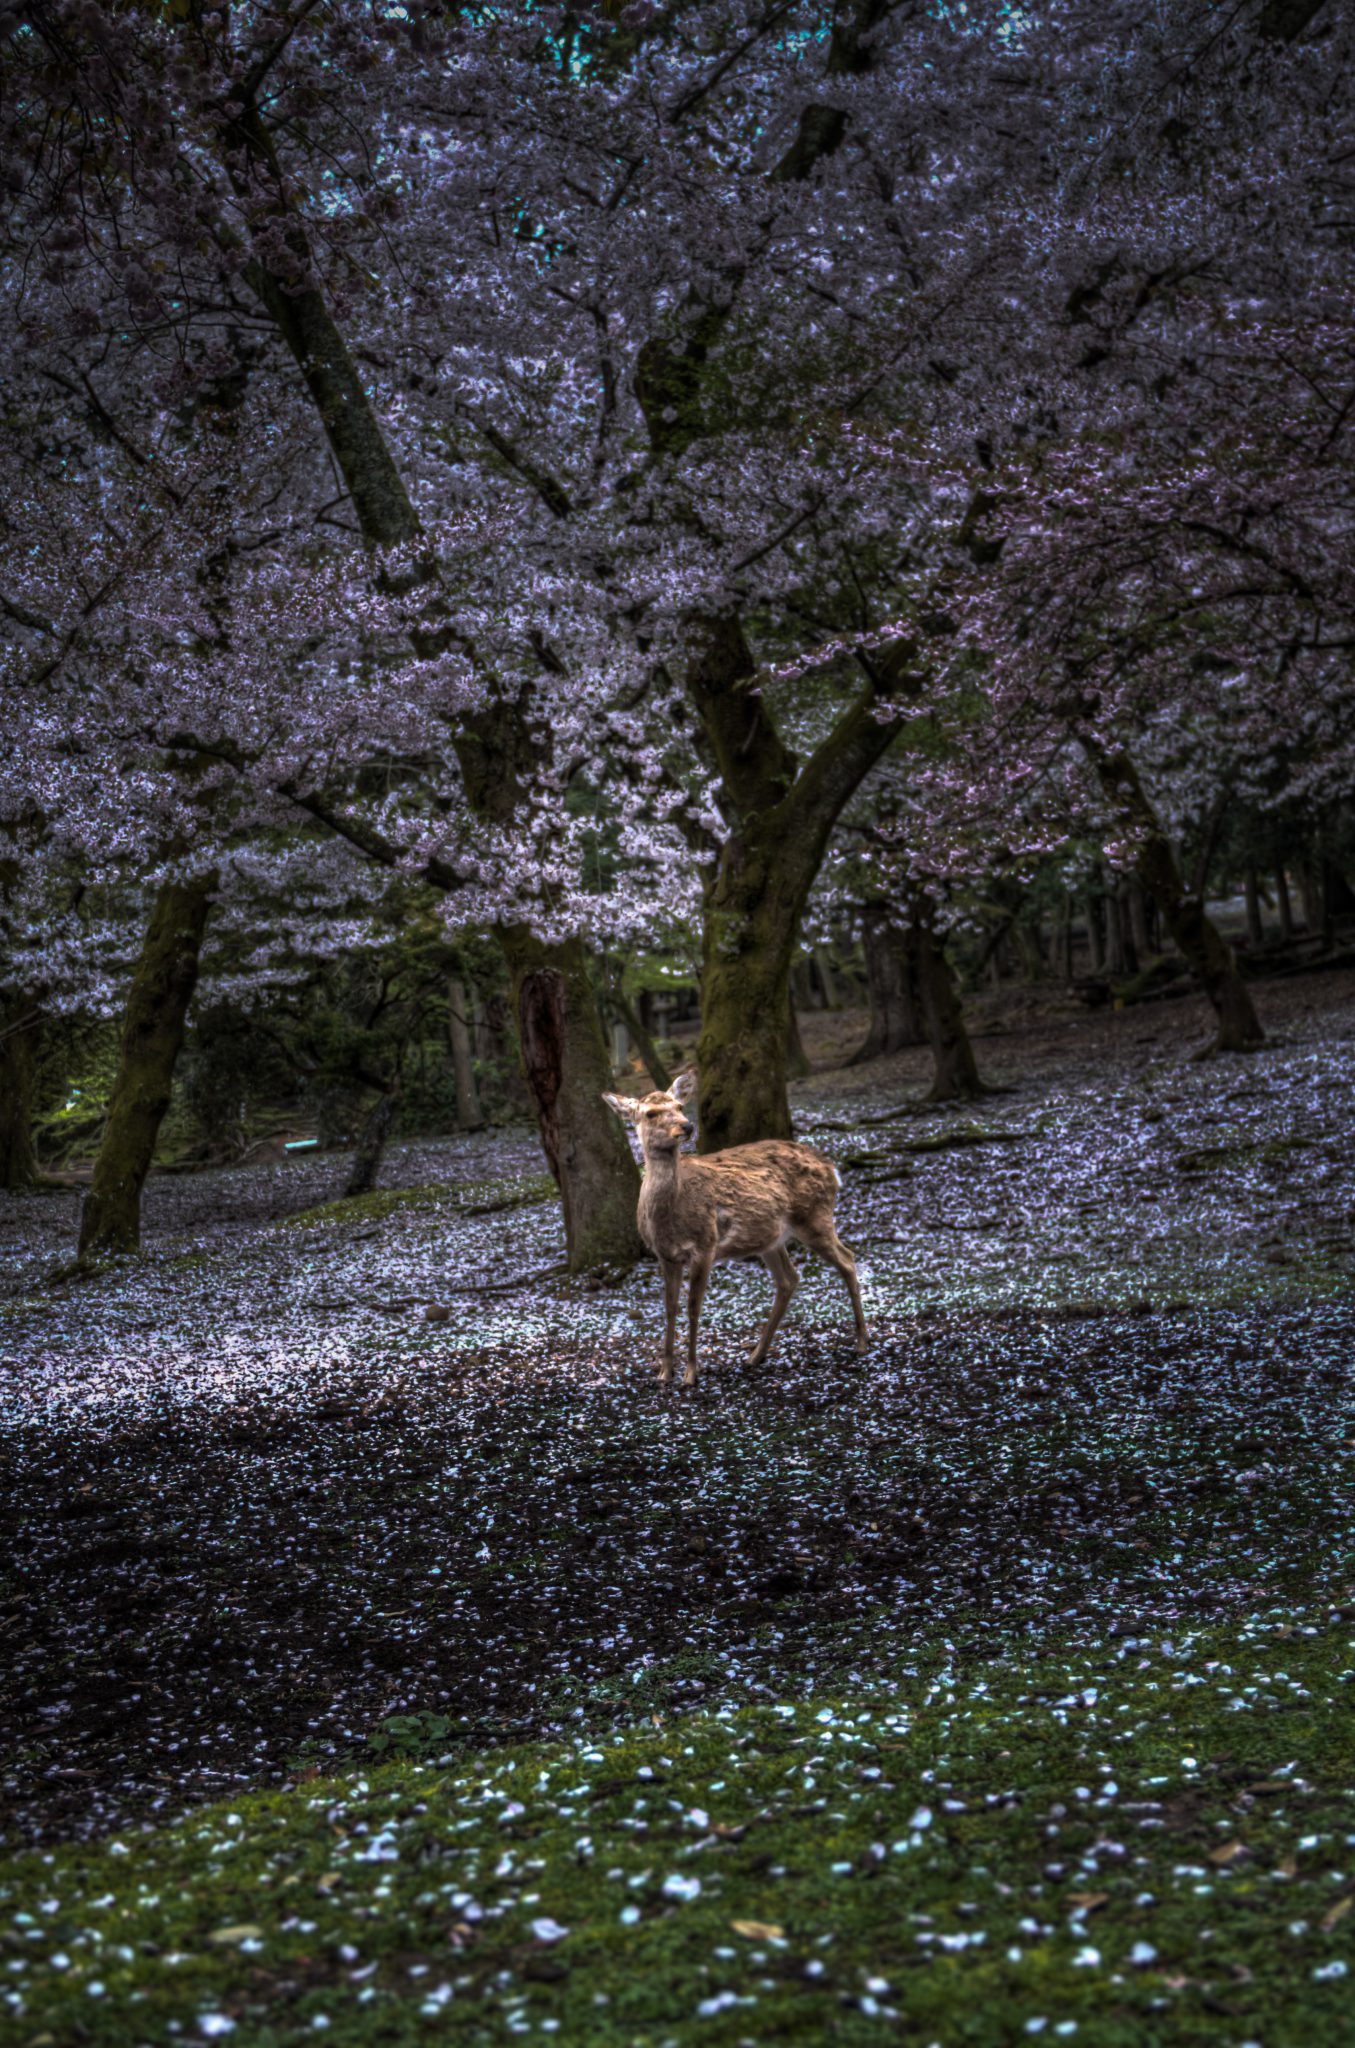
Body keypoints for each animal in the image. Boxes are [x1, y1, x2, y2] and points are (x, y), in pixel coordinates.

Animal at [602, 1071, 868, 1388]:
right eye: (650, 1113)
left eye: (679, 1106)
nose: (687, 1126)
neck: (667, 1216)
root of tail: (832, 1168)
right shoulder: (664, 1254)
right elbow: (669, 1308)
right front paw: (664, 1373)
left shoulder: (705, 1244)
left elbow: (693, 1306)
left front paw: (690, 1373)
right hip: (771, 1239)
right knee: (789, 1279)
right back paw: (756, 1355)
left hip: (815, 1216)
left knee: (847, 1259)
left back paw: (862, 1342)